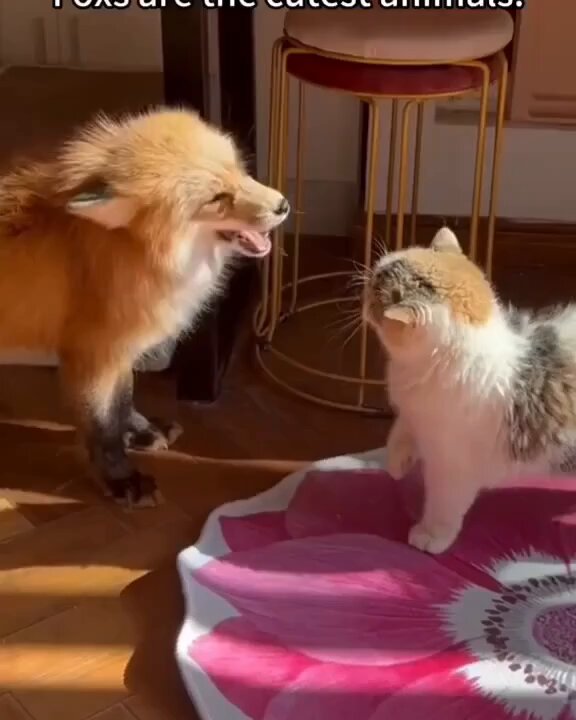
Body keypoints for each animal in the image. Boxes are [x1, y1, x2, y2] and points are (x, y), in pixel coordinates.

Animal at [0, 107, 289, 506]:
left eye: (239, 170)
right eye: (217, 198)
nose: (283, 205)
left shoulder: (121, 348)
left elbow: (124, 402)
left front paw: (141, 433)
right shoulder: (93, 355)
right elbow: (102, 426)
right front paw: (120, 479)